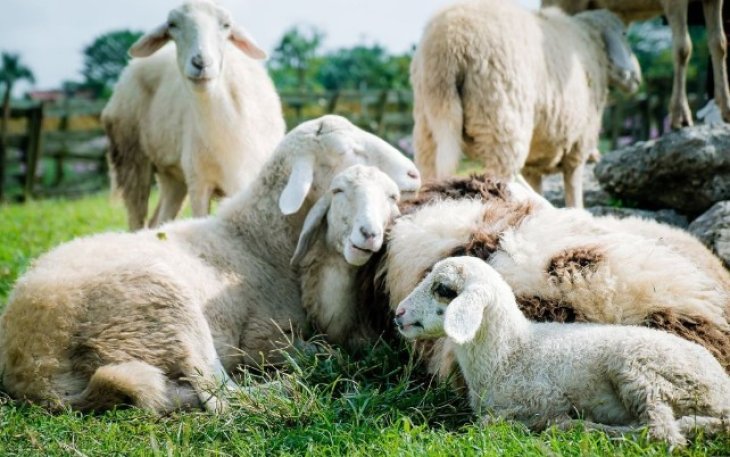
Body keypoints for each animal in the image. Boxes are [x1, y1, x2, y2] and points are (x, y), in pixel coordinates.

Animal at [102, 0, 285, 230]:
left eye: (226, 25)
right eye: (172, 25)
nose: (201, 62)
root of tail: (129, 68)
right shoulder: (199, 183)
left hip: (172, 176)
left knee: (158, 220)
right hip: (132, 158)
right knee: (137, 219)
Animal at [395, 256, 730, 446]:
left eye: (443, 289)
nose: (398, 313)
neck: (510, 352)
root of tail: (721, 389)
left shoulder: (543, 398)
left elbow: (496, 421)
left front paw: (547, 423)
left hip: (642, 369)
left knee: (661, 433)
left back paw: (582, 427)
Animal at [410, 0, 641, 208]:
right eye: (624, 34)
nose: (637, 78)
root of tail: (448, 45)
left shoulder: (536, 160)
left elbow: (537, 182)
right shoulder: (579, 142)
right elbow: (574, 188)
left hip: (429, 122)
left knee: (430, 168)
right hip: (500, 118)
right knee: (499, 176)